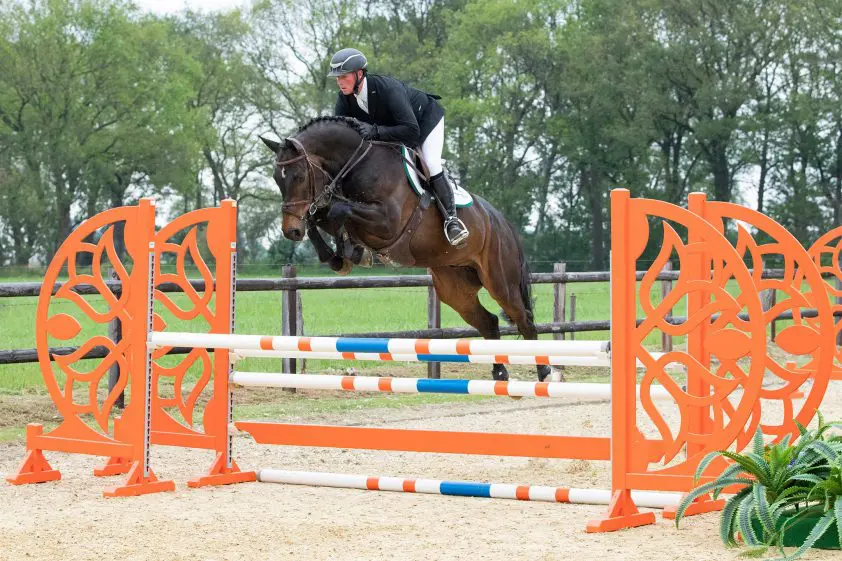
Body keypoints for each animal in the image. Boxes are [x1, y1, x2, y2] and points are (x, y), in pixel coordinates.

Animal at [260, 116, 556, 382]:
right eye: (276, 178)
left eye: (299, 176)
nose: (290, 231)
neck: (358, 164)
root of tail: (502, 222)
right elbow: (322, 216)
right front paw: (341, 256)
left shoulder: (387, 222)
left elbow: (336, 210)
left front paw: (348, 250)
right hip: (454, 287)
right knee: (489, 323)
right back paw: (500, 373)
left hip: (500, 280)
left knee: (524, 319)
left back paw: (545, 372)